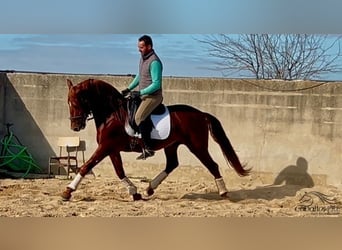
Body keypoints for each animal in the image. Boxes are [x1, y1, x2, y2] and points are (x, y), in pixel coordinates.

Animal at [61, 78, 250, 201]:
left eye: (75, 102)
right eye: (68, 103)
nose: (75, 127)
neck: (112, 113)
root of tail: (201, 114)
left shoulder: (106, 147)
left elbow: (86, 166)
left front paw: (68, 191)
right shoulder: (111, 149)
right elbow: (119, 171)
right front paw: (134, 192)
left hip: (197, 146)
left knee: (212, 165)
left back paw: (224, 193)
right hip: (172, 145)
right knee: (172, 164)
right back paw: (149, 189)